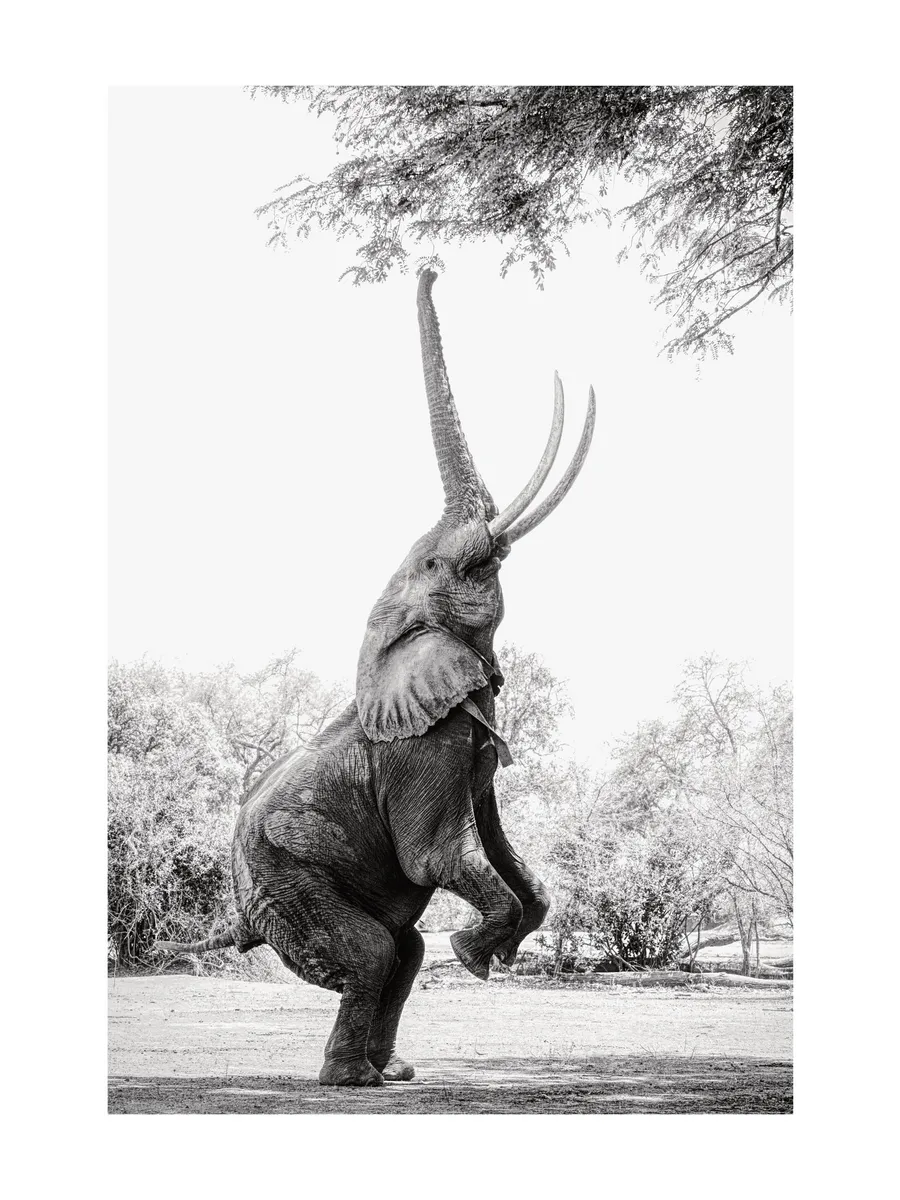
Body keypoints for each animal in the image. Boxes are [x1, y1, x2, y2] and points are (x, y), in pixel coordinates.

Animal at [157, 269, 595, 1086]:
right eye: (442, 562)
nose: (428, 265)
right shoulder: (422, 750)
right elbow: (434, 856)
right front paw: (478, 958)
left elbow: (502, 847)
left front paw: (499, 950)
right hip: (287, 879)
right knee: (372, 950)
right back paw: (350, 1080)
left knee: (403, 951)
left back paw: (392, 1074)